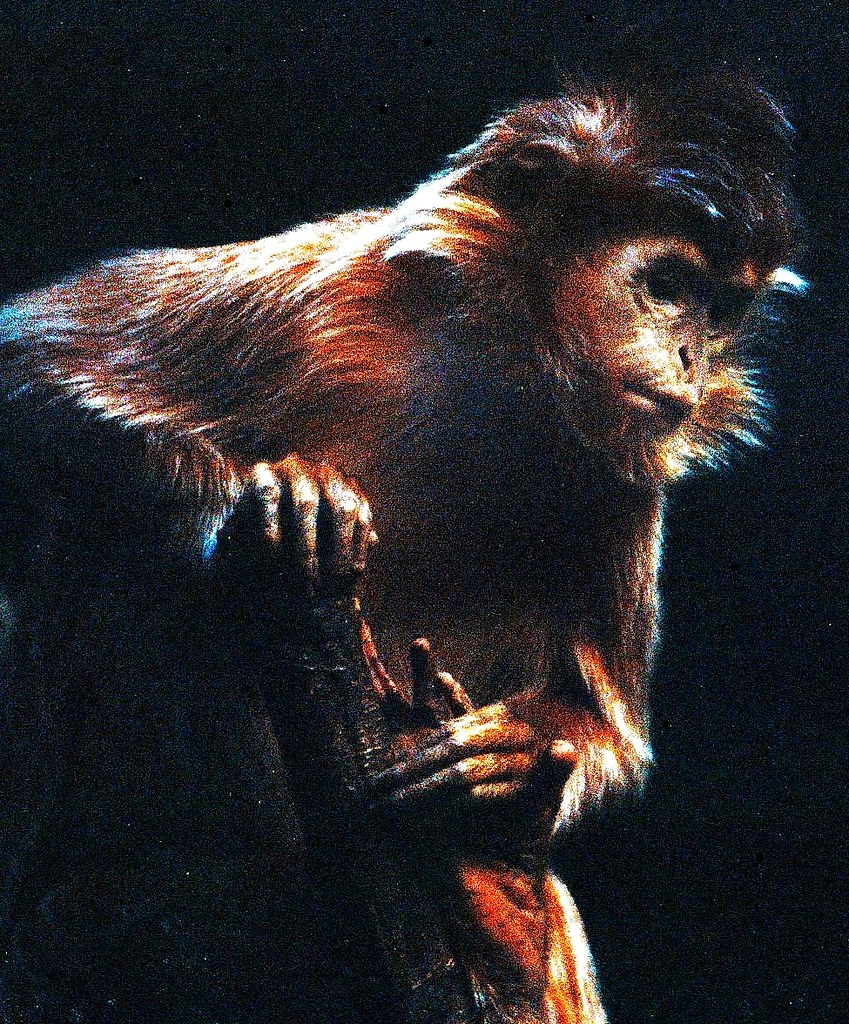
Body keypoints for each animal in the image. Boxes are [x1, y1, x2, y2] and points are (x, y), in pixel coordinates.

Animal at [0, 75, 804, 1023]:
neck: (503, 377)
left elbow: (603, 722)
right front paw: (270, 495)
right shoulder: (328, 288)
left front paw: (510, 771)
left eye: (721, 310)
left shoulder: (621, 476)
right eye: (668, 283)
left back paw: (498, 890)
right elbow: (29, 357)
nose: (687, 356)